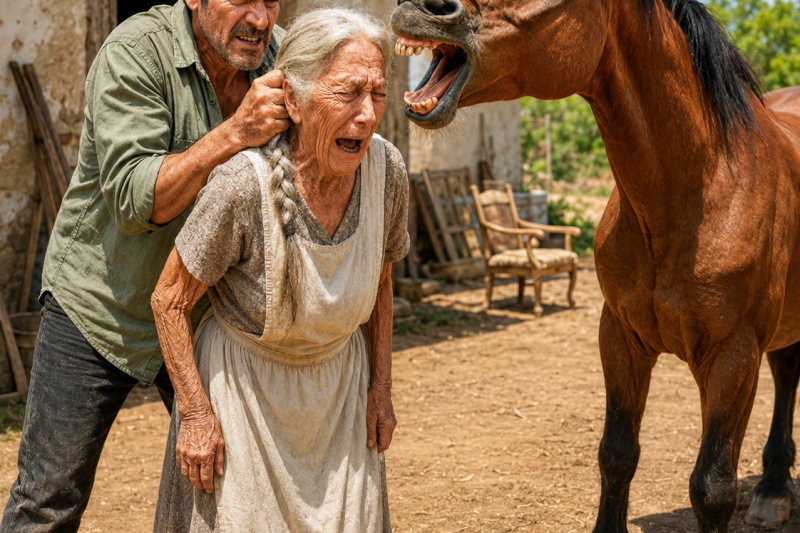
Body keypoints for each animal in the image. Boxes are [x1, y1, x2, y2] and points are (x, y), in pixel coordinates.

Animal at [391, 0, 800, 531]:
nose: (423, 8)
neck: (700, 187)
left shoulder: (734, 354)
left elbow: (712, 488)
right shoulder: (620, 337)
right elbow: (617, 455)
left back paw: (773, 489)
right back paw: (774, 488)